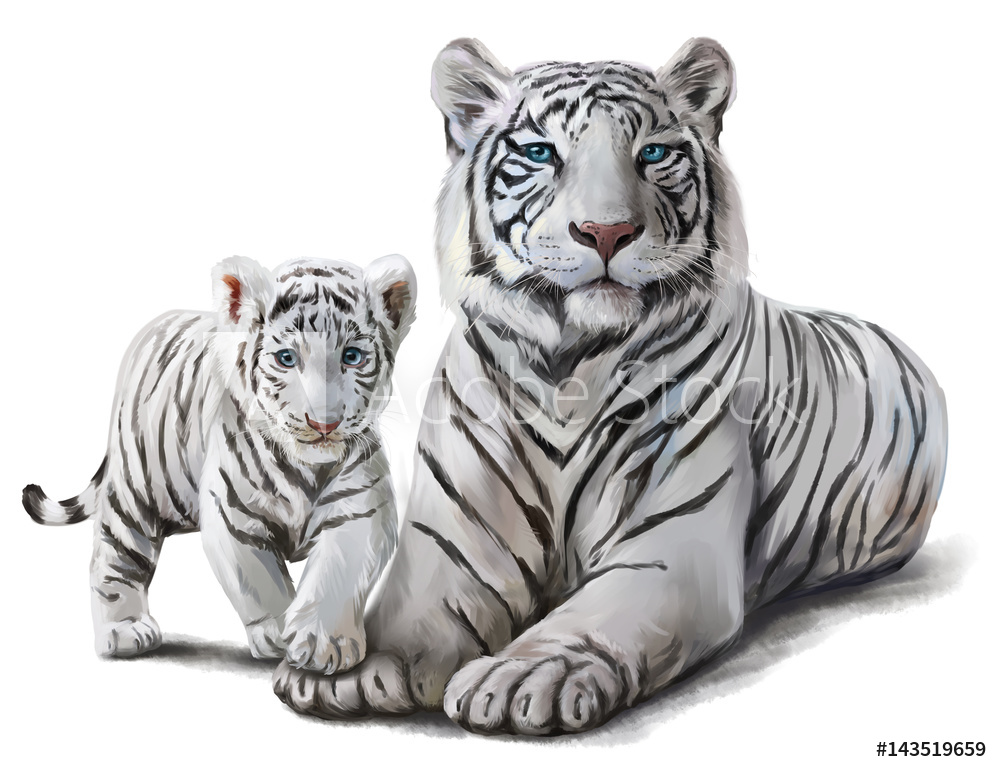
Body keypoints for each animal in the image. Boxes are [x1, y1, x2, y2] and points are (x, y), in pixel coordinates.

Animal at [23, 254, 415, 674]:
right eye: (287, 359)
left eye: (352, 357)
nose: (323, 423)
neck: (308, 468)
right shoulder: (233, 513)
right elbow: (261, 578)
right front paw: (278, 635)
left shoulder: (361, 508)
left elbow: (337, 575)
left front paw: (325, 644)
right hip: (136, 488)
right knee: (115, 554)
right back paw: (125, 630)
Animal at [272, 38, 948, 734]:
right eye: (540, 153)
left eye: (651, 153)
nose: (606, 232)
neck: (568, 367)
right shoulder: (451, 544)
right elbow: (409, 614)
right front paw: (349, 665)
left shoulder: (670, 548)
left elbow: (589, 621)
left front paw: (522, 676)